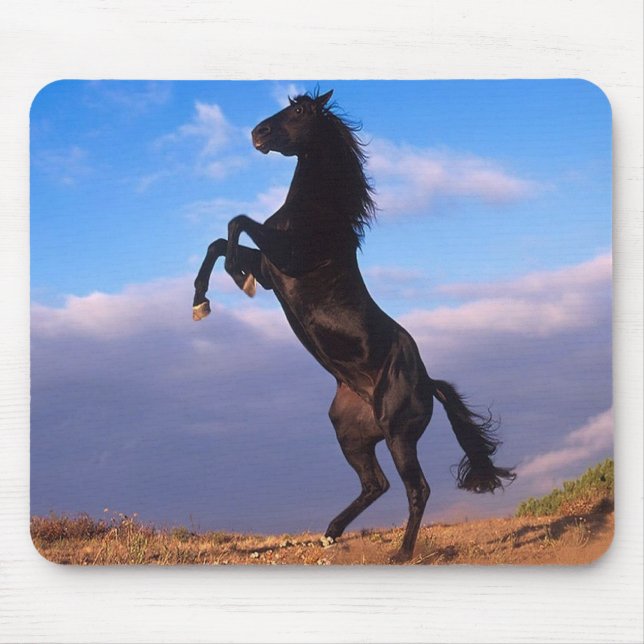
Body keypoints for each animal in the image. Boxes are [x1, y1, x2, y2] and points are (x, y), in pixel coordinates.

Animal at [192, 89, 515, 562]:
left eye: (300, 111)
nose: (257, 133)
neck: (318, 212)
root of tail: (428, 383)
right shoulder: (272, 270)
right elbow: (218, 241)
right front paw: (200, 303)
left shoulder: (286, 258)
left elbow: (237, 224)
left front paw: (236, 278)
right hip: (351, 434)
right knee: (375, 484)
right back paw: (330, 533)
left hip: (399, 436)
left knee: (416, 489)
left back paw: (400, 553)